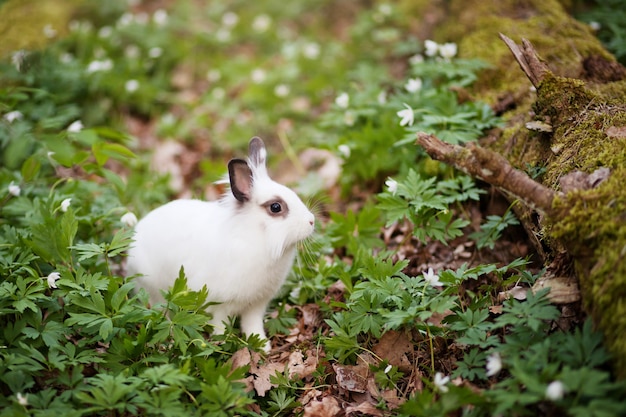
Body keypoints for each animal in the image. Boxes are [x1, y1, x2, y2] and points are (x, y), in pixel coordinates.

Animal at [127, 137, 314, 352]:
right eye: (276, 207)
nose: (312, 221)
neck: (255, 237)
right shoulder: (219, 305)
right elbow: (220, 325)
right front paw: (222, 343)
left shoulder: (256, 304)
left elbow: (252, 325)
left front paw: (262, 346)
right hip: (154, 291)